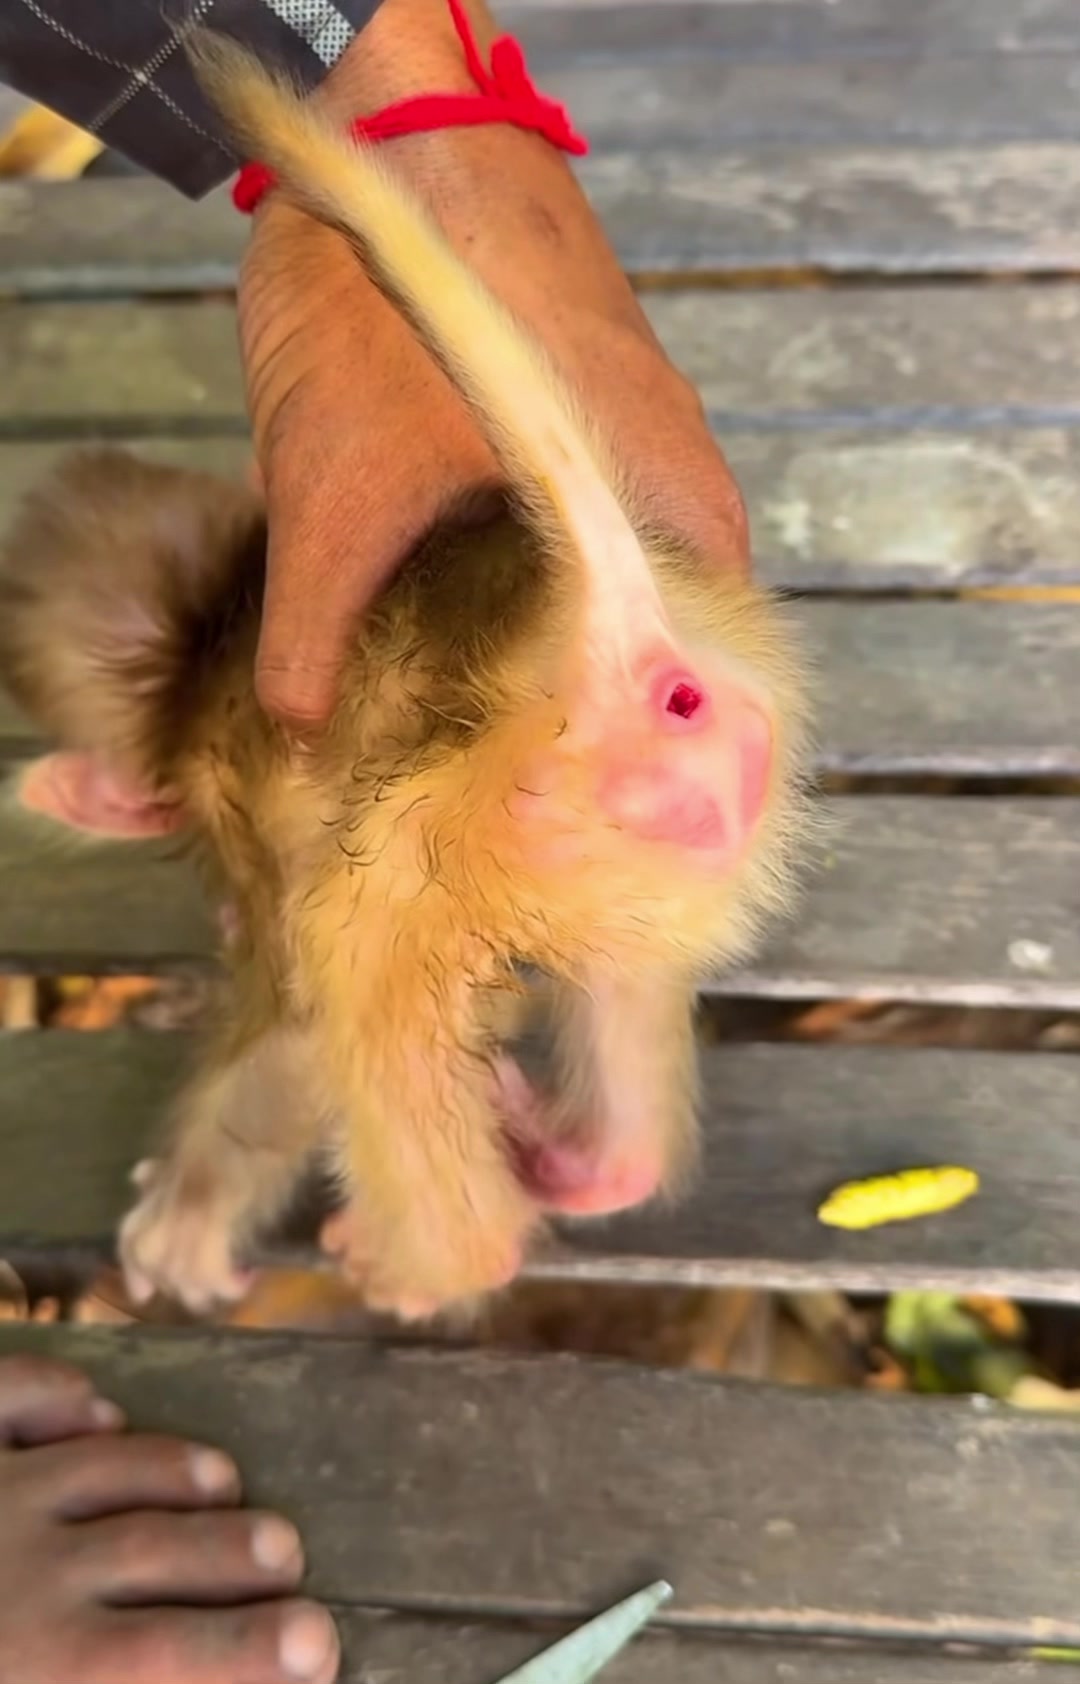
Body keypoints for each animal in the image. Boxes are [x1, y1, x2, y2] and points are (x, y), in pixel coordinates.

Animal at [0, 38, 813, 1323]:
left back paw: (443, 1252)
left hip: (471, 821)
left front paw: (184, 1220)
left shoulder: (254, 825)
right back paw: (598, 1161)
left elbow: (289, 1030)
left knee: (356, 957)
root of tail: (596, 641)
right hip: (632, 833)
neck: (205, 640)